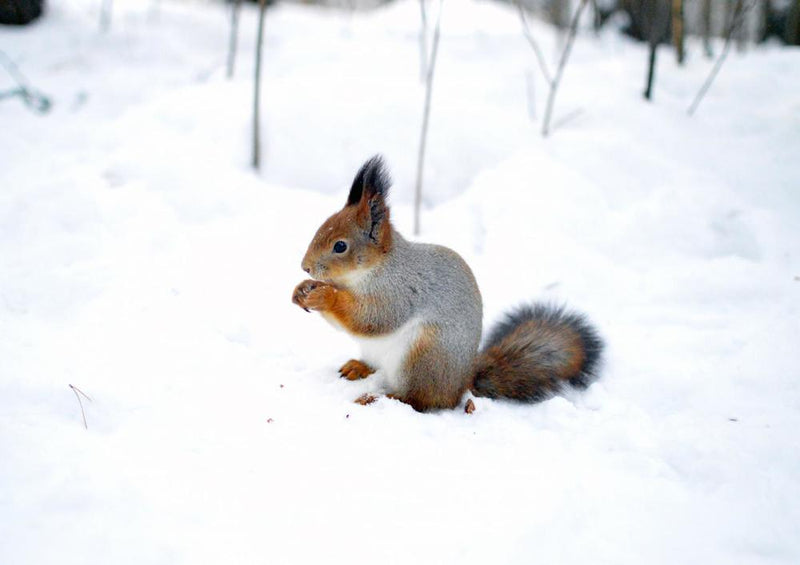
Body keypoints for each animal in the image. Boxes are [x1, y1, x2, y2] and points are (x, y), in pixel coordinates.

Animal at [292, 154, 600, 410]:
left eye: (340, 246)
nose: (305, 266)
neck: (366, 274)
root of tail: (462, 383)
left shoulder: (400, 291)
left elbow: (372, 318)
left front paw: (324, 296)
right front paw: (300, 291)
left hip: (424, 357)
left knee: (423, 400)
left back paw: (384, 398)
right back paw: (359, 368)